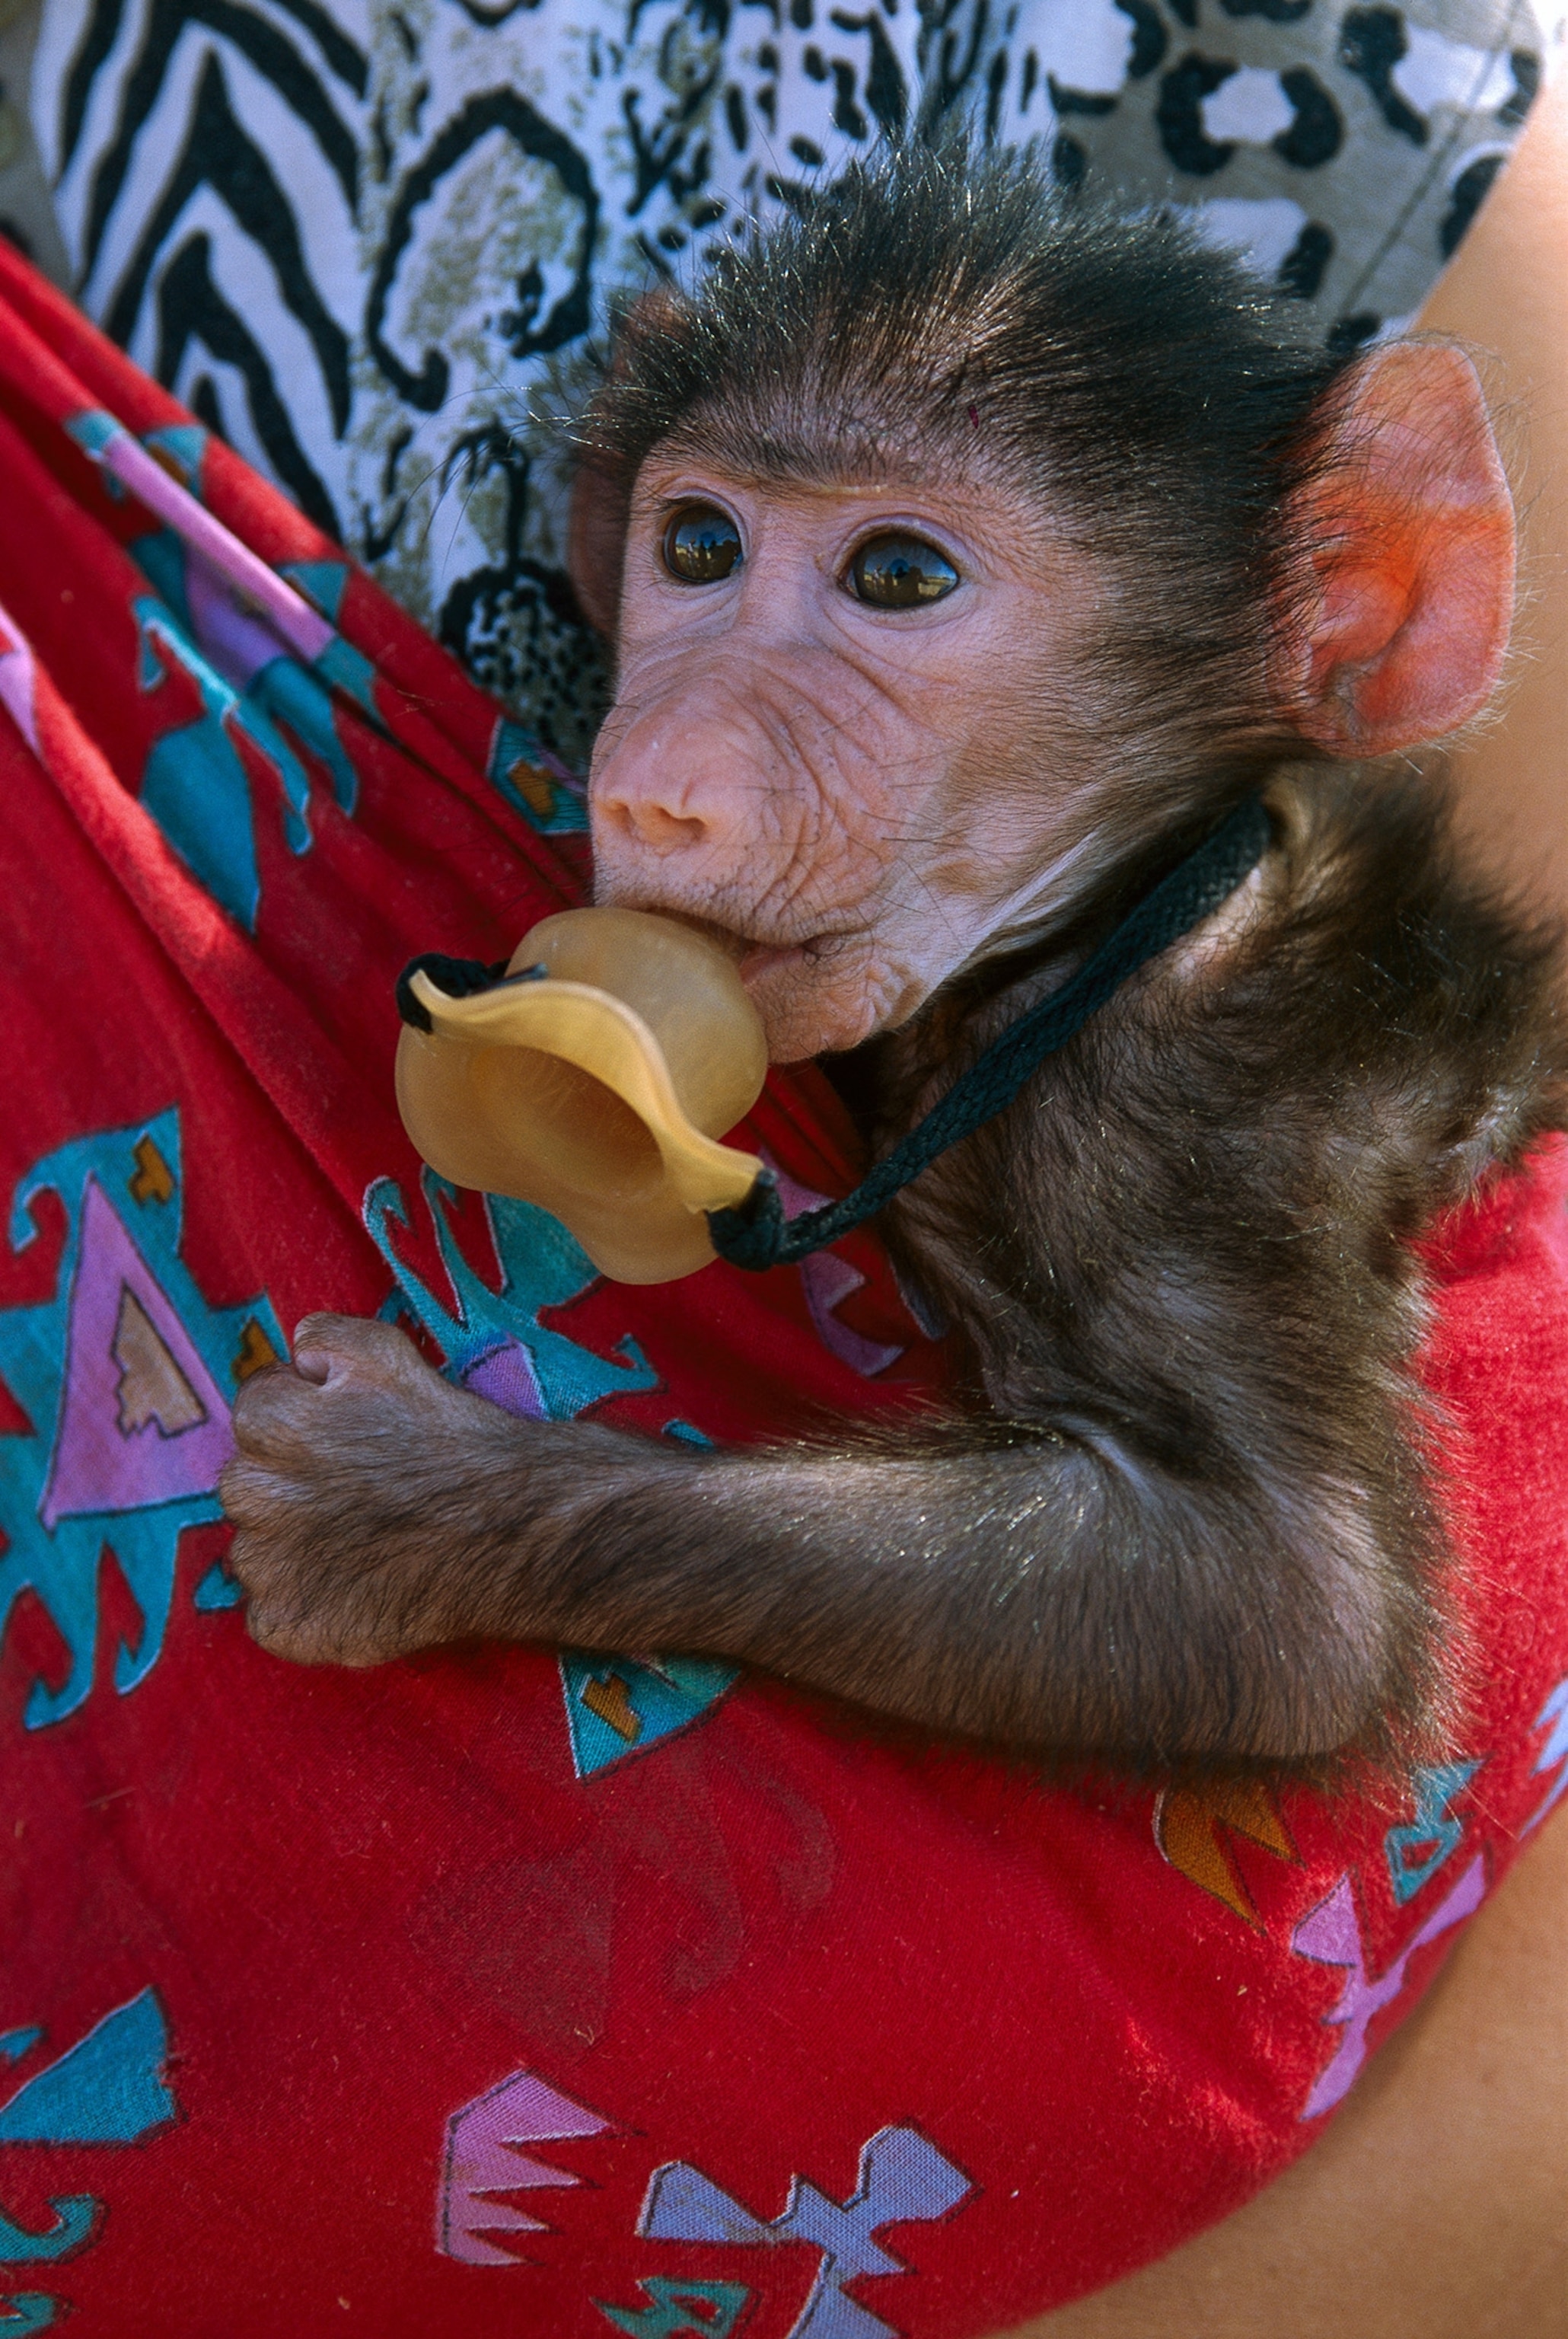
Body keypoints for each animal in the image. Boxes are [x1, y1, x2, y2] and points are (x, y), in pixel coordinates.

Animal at [219, 143, 1566, 1778]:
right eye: (698, 547)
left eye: (902, 576)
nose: (649, 782)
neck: (1110, 925)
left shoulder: (1186, 1115)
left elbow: (1290, 1601)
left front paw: (405, 1498)